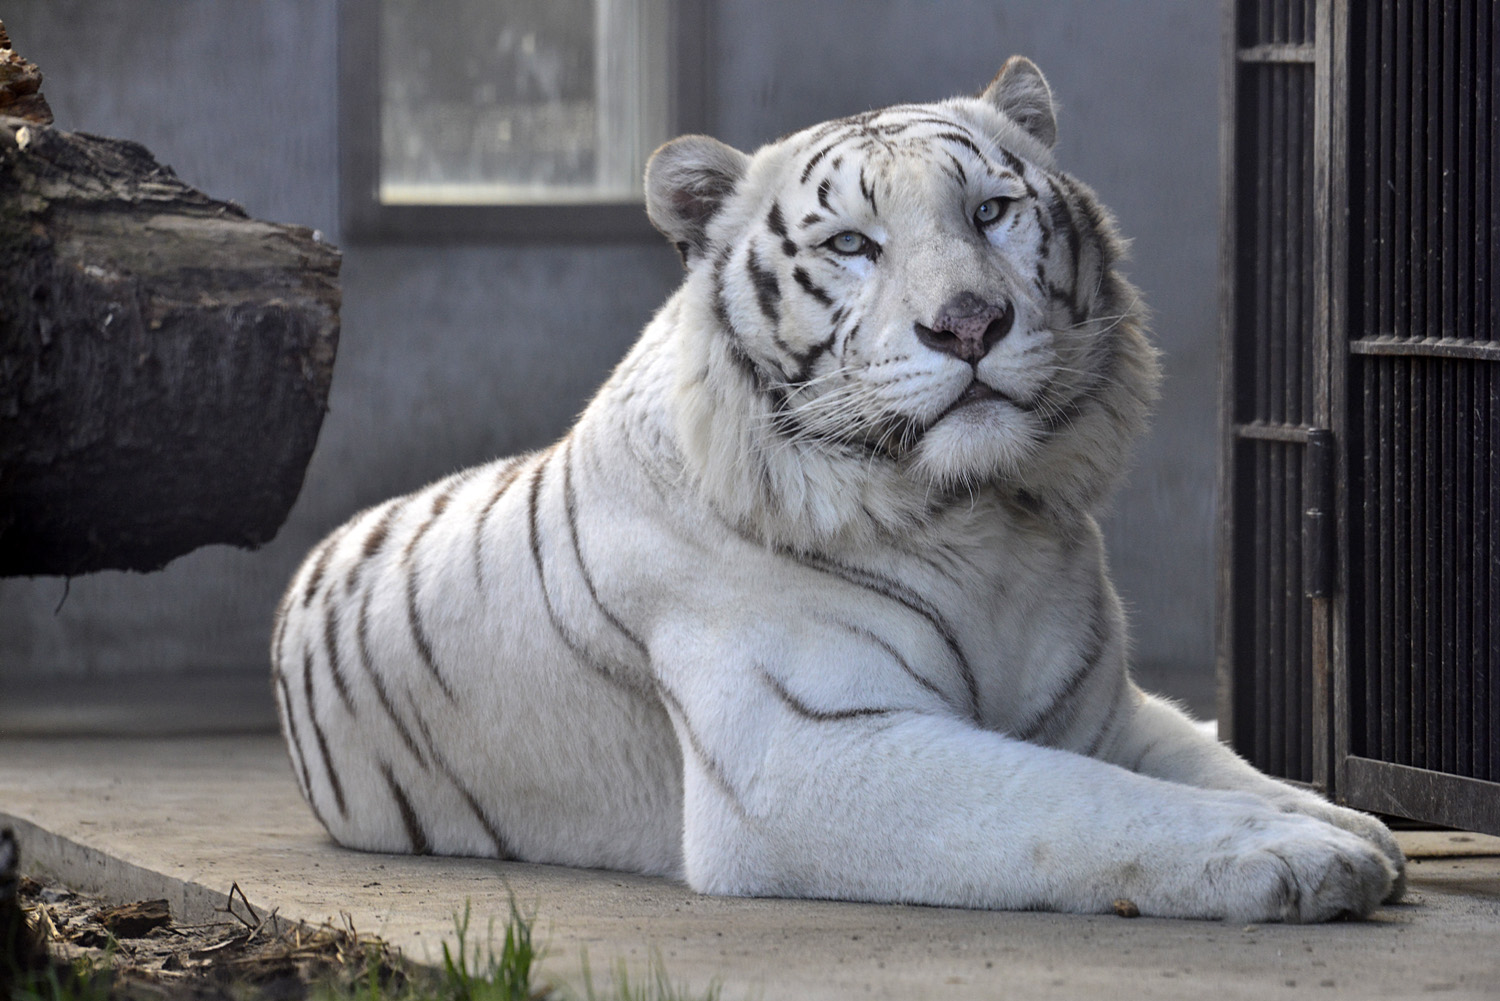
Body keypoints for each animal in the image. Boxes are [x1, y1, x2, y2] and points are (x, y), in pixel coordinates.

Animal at [273, 56, 1404, 924]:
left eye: (991, 212)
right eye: (854, 244)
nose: (968, 322)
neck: (980, 520)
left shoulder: (1097, 706)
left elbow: (1202, 759)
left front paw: (1347, 821)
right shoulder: (808, 751)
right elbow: (1086, 801)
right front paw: (1297, 854)